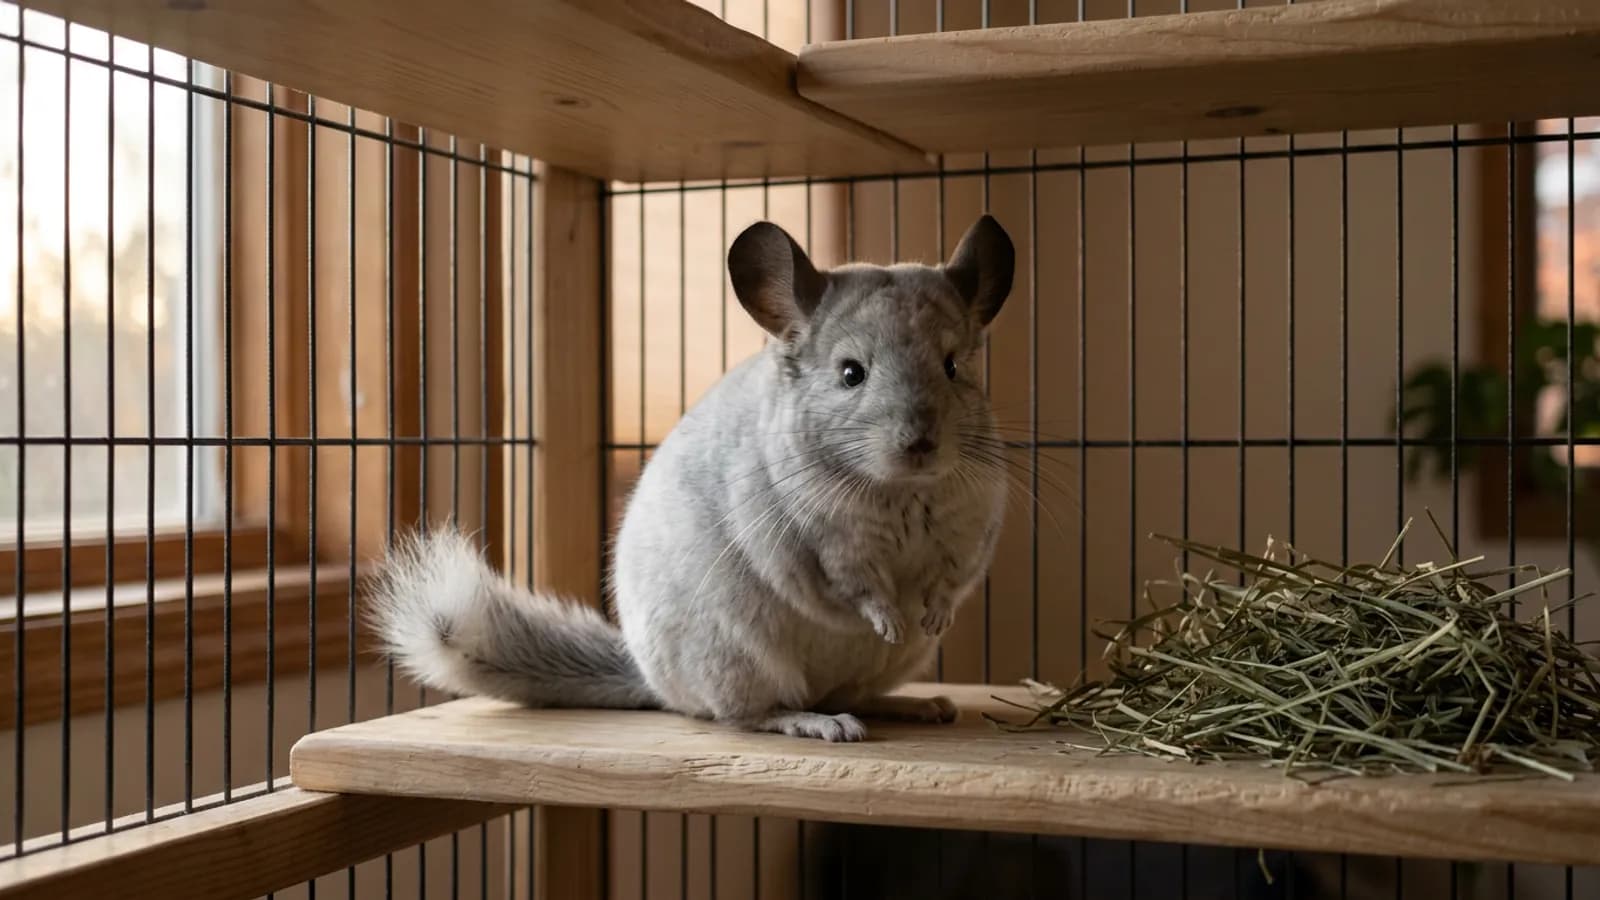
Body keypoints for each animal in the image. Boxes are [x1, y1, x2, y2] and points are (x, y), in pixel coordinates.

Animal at [371, 215, 1014, 741]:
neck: (904, 494)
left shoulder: (972, 536)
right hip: (738, 657)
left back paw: (919, 706)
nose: (920, 443)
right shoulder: (825, 544)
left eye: (953, 366)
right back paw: (819, 723)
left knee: (850, 696)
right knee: (748, 715)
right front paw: (889, 621)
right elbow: (857, 587)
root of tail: (651, 680)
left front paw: (931, 616)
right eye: (851, 373)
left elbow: (949, 582)